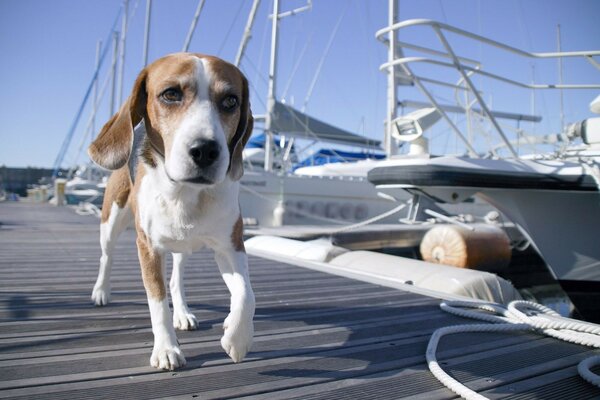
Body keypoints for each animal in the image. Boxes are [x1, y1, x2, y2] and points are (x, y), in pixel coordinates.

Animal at [88, 53, 255, 372]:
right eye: (170, 94)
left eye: (231, 101)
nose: (205, 150)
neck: (186, 193)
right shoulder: (148, 247)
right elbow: (157, 302)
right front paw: (166, 349)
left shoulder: (231, 246)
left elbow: (246, 294)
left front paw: (237, 338)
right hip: (111, 221)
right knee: (106, 256)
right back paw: (101, 291)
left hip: (183, 246)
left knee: (177, 280)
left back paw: (183, 313)